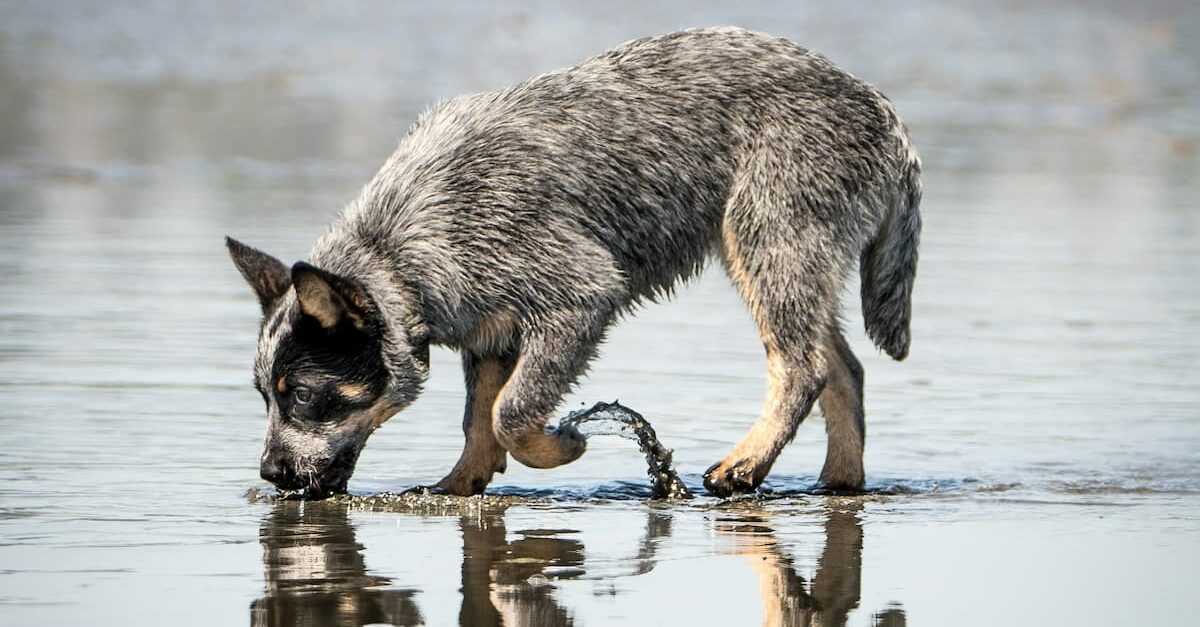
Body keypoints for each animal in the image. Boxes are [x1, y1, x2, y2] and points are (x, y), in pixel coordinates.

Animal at [225, 26, 916, 497]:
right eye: (263, 396)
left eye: (303, 397)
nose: (270, 473)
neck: (403, 246)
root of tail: (882, 109)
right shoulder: (489, 328)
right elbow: (478, 419)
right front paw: (460, 486)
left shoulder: (579, 297)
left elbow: (509, 414)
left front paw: (562, 446)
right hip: (796, 262)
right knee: (844, 370)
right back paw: (839, 482)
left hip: (767, 243)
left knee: (802, 368)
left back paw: (744, 465)